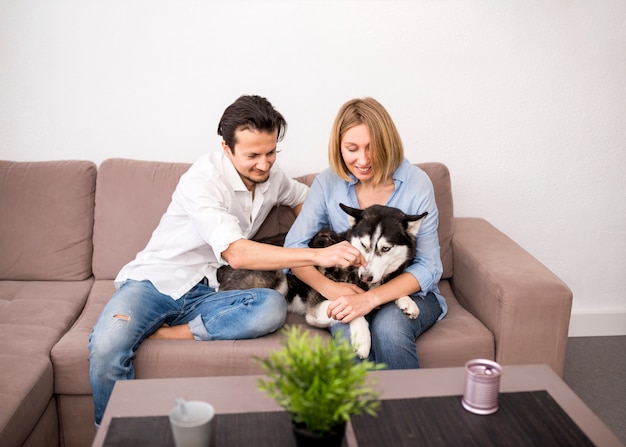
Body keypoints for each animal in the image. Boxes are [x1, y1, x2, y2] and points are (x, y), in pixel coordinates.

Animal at [214, 205, 424, 358]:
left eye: (386, 248)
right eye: (364, 245)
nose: (365, 276)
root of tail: (222, 267)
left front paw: (406, 301)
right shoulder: (317, 310)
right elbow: (352, 308)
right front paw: (363, 339)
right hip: (278, 278)